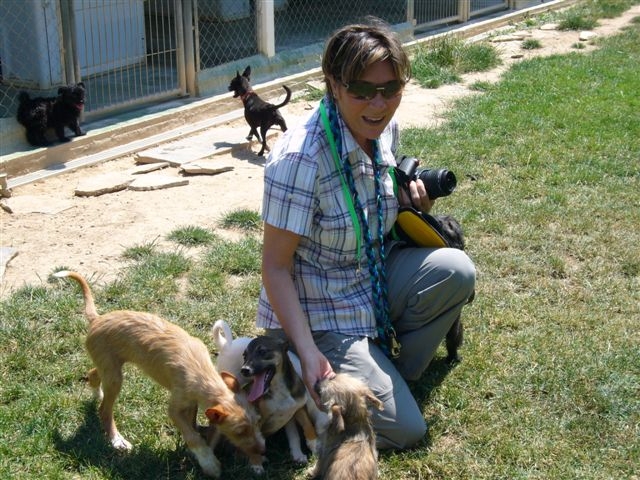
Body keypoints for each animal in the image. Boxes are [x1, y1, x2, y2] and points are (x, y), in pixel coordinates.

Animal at [54, 271, 265, 478]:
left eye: (258, 422)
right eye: (239, 432)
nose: (262, 452)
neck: (202, 373)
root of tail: (97, 319)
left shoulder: (191, 403)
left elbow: (192, 425)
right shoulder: (174, 409)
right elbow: (192, 436)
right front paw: (209, 463)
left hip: (110, 368)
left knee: (93, 374)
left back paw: (96, 392)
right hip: (115, 377)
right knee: (104, 411)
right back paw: (117, 440)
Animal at [212, 320, 325, 465]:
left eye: (263, 352)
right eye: (245, 356)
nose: (245, 369)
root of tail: (226, 345)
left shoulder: (293, 411)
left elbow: (297, 432)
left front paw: (300, 453)